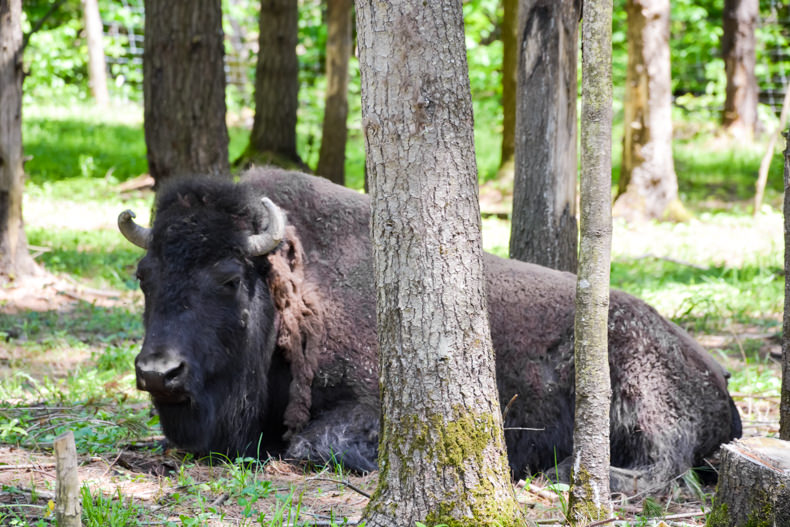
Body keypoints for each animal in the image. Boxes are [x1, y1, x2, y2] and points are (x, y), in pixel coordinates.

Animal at [119, 168, 744, 490]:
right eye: (144, 275)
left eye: (228, 278)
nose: (157, 372)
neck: (292, 282)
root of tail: (715, 374)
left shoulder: (376, 403)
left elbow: (309, 443)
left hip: (641, 387)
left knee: (664, 461)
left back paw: (570, 472)